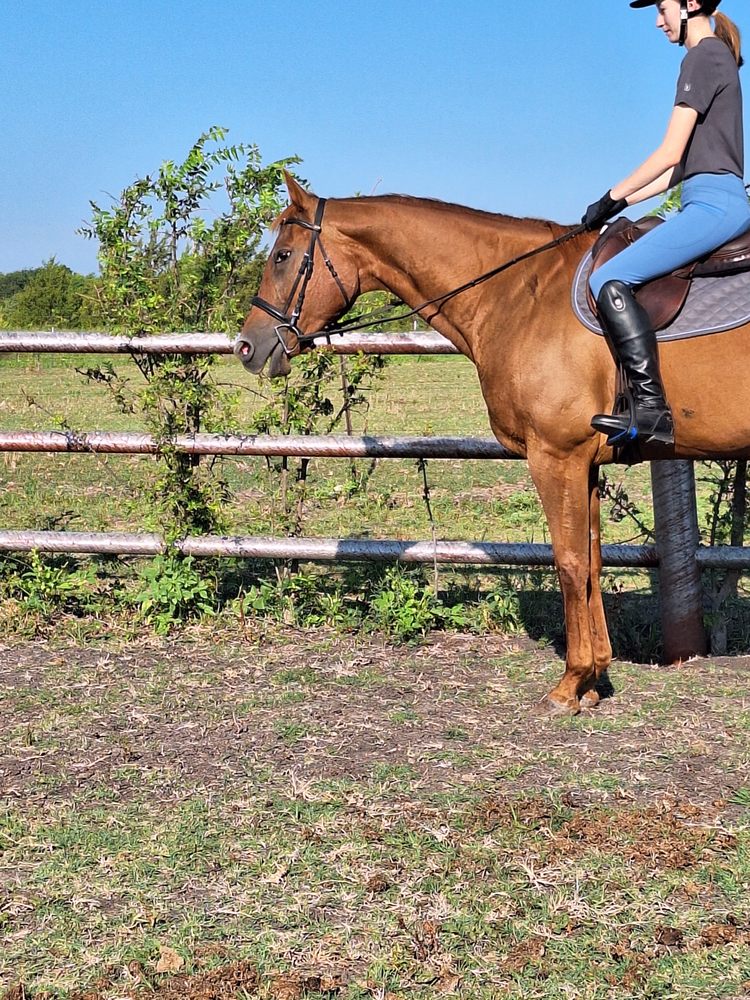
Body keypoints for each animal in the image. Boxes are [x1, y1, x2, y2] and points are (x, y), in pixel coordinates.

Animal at [234, 173, 750, 717]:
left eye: (283, 256)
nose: (247, 346)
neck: (521, 293)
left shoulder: (556, 457)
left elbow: (569, 563)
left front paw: (570, 683)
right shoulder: (585, 463)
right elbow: (590, 560)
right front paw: (595, 680)